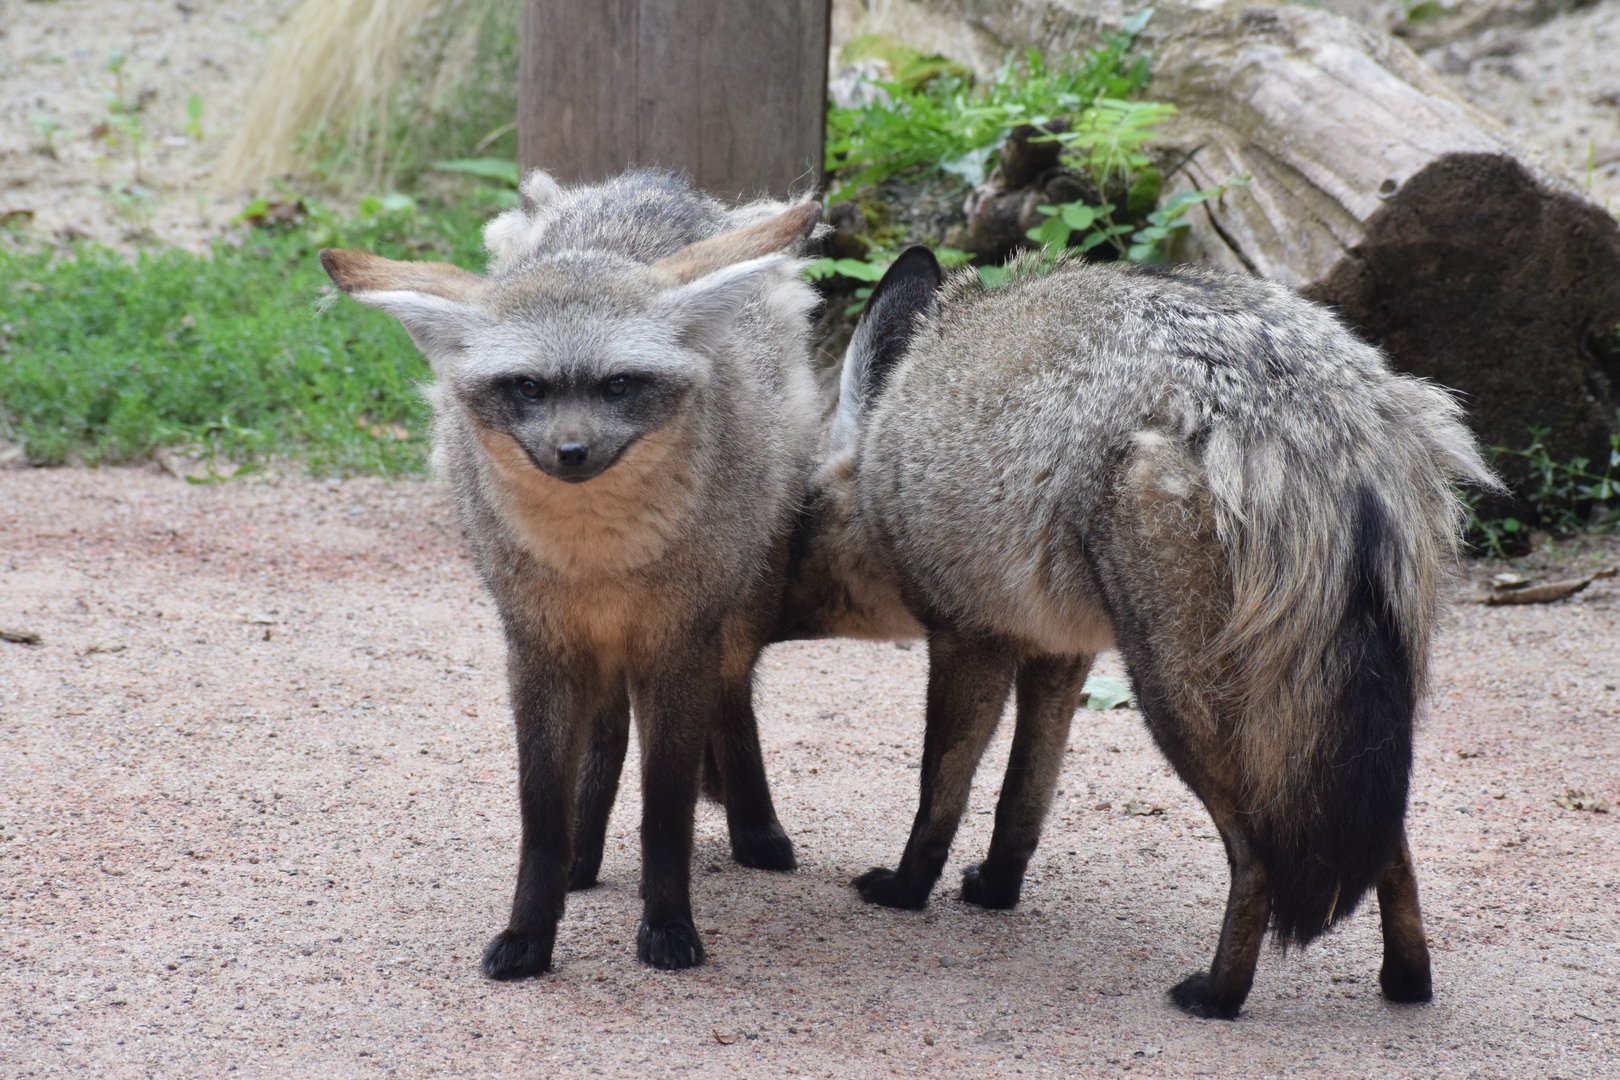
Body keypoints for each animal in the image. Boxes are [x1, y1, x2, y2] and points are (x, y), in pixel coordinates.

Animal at [321, 168, 823, 979]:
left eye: (618, 385)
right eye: (529, 388)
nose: (572, 452)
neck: (599, 564)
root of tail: (652, 181)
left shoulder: (676, 646)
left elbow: (666, 814)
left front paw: (669, 924)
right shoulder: (540, 649)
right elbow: (542, 814)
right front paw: (531, 929)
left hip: (737, 617)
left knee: (733, 701)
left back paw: (757, 828)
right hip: (600, 658)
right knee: (609, 739)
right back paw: (583, 861)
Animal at [775, 245, 1501, 1018]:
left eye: (788, 534)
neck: (886, 451)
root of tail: (1318, 412)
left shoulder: (969, 640)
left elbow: (940, 795)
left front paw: (906, 891)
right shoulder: (1058, 653)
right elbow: (1021, 802)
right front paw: (998, 891)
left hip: (1176, 700)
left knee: (1257, 858)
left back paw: (1219, 995)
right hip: (1343, 725)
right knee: (1391, 846)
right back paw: (1407, 981)